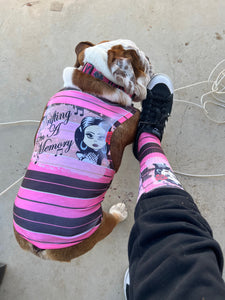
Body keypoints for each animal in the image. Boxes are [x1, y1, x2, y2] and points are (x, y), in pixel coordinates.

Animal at [14, 39, 153, 260]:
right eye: (139, 62)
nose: (148, 58)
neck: (95, 76)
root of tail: (37, 246)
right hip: (96, 230)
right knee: (110, 222)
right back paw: (119, 212)